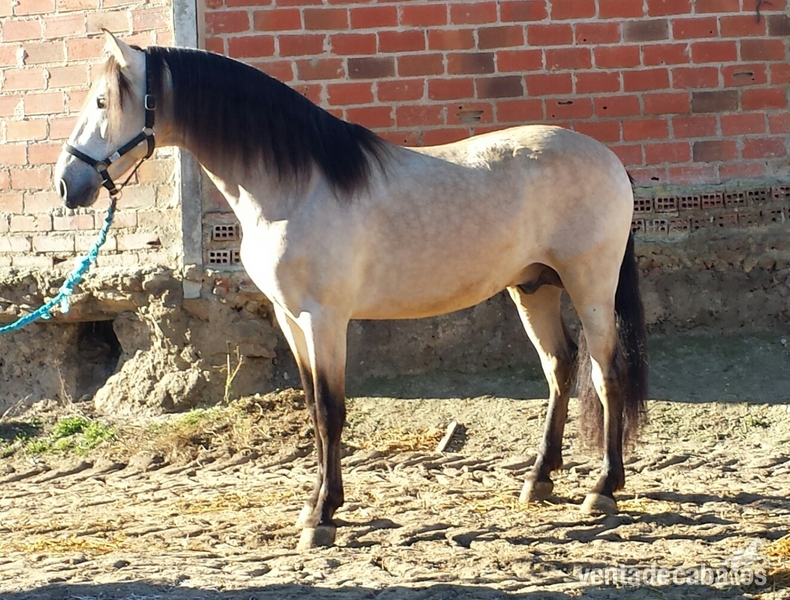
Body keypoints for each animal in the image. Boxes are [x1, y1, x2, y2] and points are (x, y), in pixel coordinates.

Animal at [55, 32, 648, 550]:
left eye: (103, 101)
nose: (65, 185)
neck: (294, 187)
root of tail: (611, 160)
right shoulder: (290, 318)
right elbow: (313, 408)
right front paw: (314, 505)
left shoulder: (325, 319)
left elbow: (329, 410)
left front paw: (323, 516)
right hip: (533, 287)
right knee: (560, 368)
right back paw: (539, 478)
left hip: (590, 286)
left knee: (606, 374)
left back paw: (602, 489)